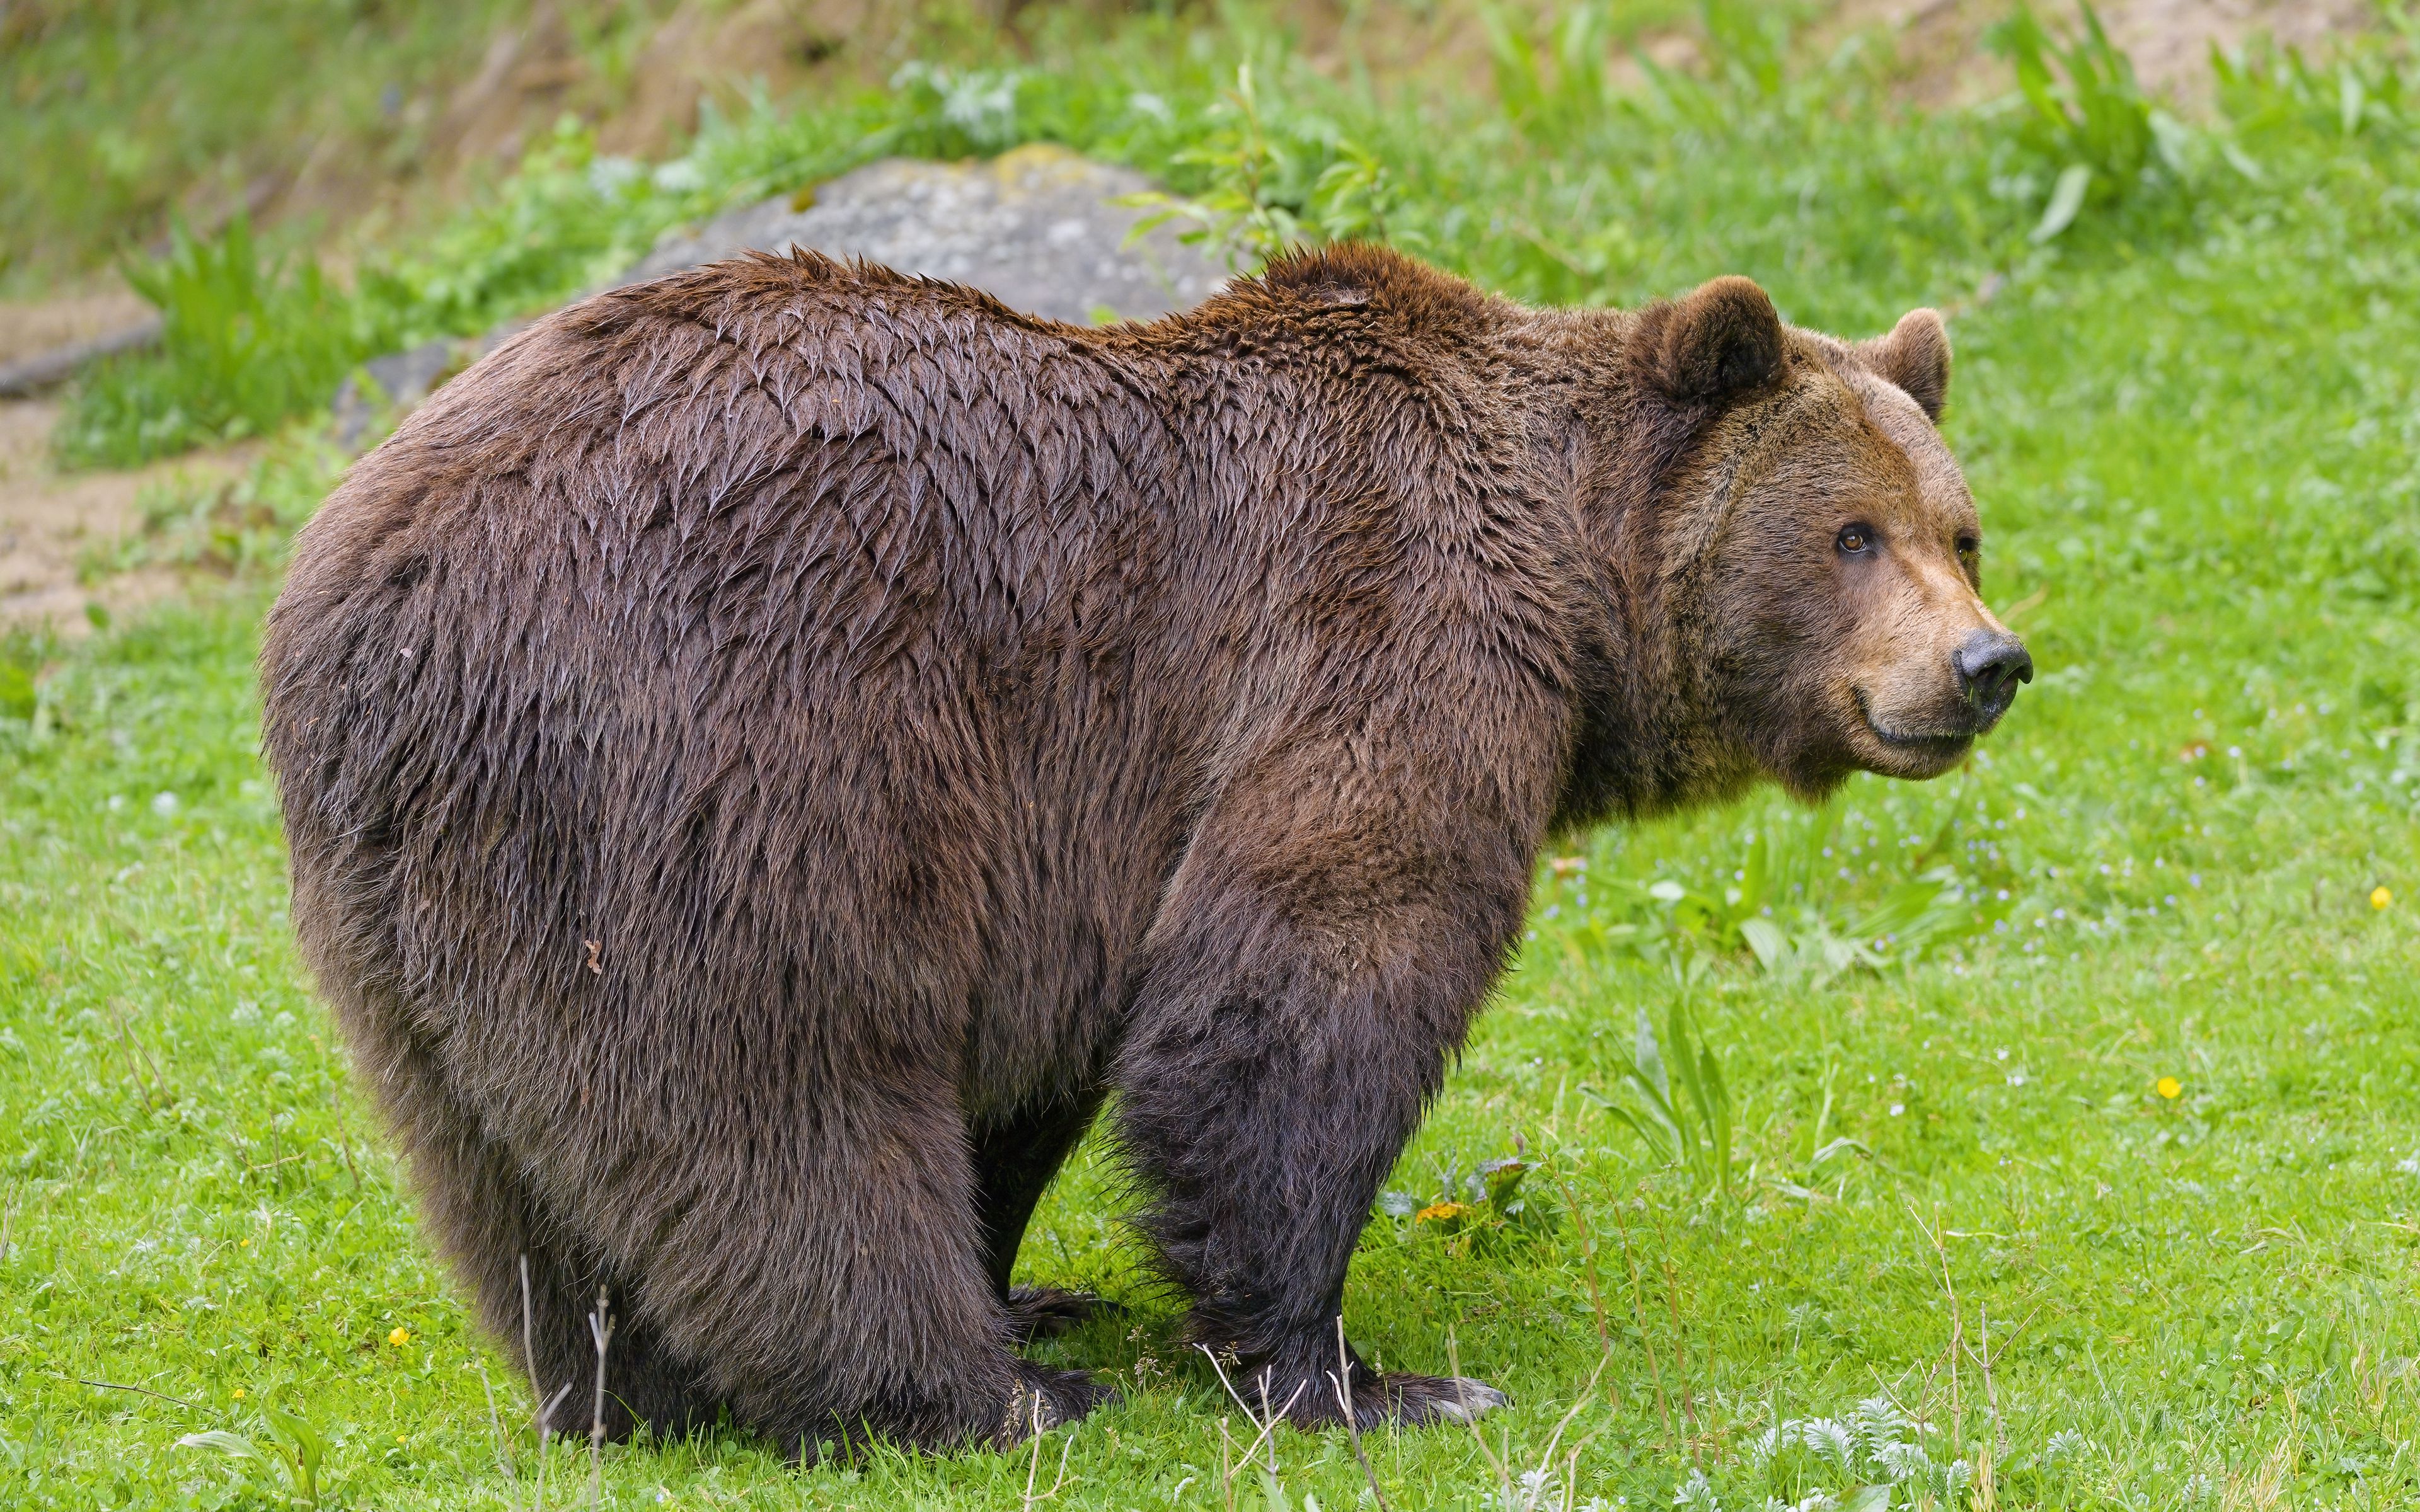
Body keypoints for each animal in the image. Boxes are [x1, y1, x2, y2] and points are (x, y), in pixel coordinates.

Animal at [260, 242, 2023, 1461]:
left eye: (1960, 528)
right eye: (1849, 533)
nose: (1984, 662)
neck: (1568, 578)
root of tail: (376, 603)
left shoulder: (1075, 854)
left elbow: (1052, 1070)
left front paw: (1046, 1264)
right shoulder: (1380, 634)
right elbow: (1308, 978)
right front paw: (1358, 1373)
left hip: (414, 899)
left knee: (504, 1167)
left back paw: (629, 1384)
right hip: (730, 749)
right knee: (779, 1087)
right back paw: (982, 1391)